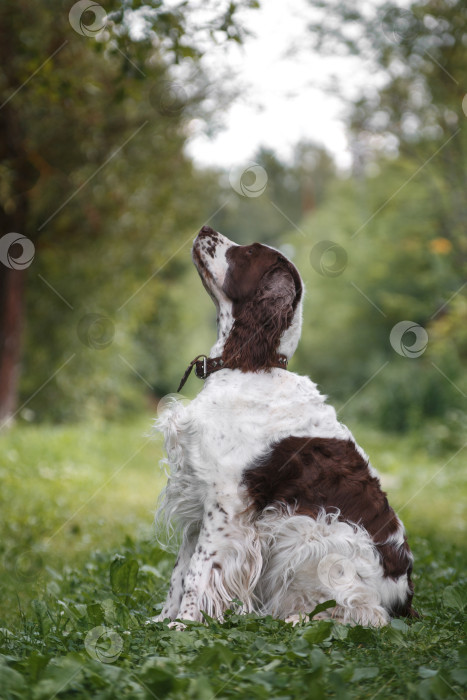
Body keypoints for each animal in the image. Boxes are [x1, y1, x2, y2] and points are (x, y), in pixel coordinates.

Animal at [154, 227, 416, 628]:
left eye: (248, 252)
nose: (205, 230)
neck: (248, 366)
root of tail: (404, 598)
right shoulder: (199, 497)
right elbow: (179, 571)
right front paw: (162, 621)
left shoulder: (226, 500)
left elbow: (199, 569)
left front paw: (184, 624)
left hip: (315, 533)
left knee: (365, 613)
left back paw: (295, 621)